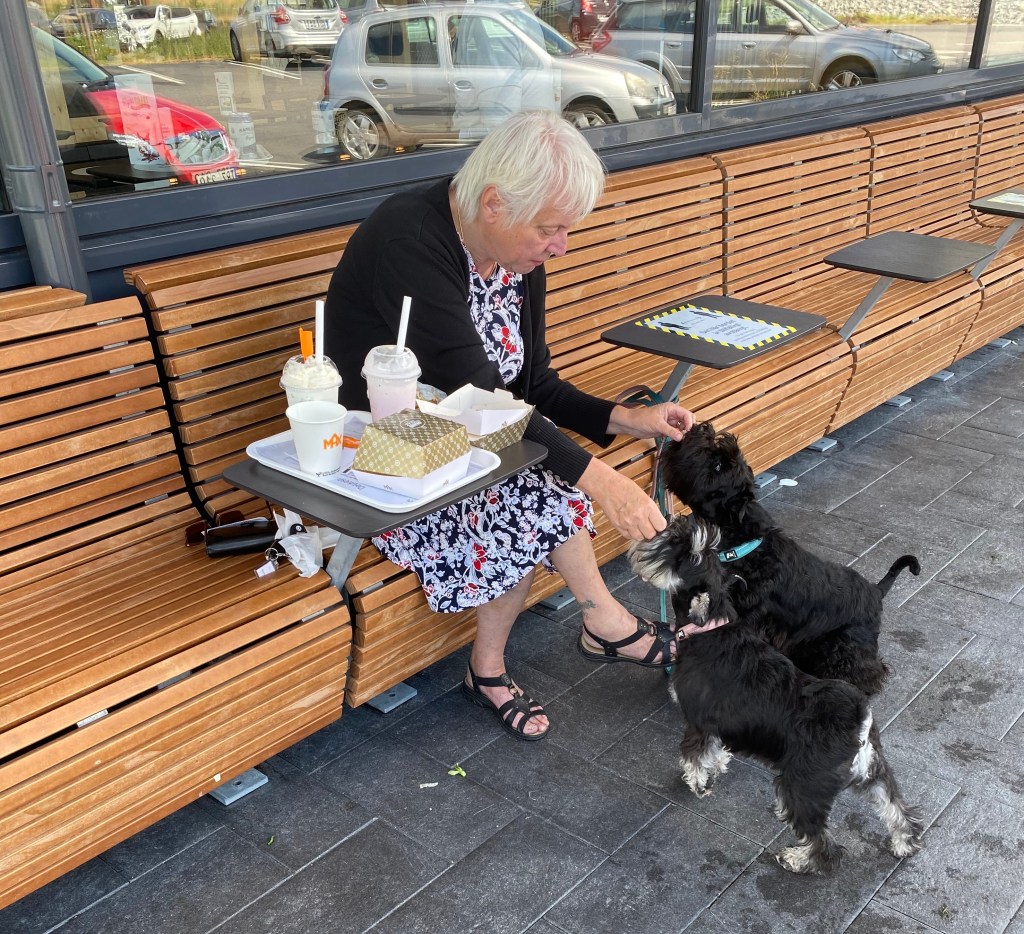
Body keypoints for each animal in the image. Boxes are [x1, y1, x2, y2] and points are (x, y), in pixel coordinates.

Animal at [629, 516, 924, 874]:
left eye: (688, 552)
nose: (674, 522)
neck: (711, 628)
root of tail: (860, 719)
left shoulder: (699, 722)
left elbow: (695, 755)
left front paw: (698, 782)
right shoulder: (719, 726)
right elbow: (717, 750)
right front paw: (720, 765)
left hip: (801, 785)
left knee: (825, 844)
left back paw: (798, 859)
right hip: (872, 772)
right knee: (897, 808)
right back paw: (904, 843)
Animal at [660, 421, 921, 696]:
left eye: (719, 466)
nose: (700, 427)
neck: (744, 547)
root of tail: (876, 590)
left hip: (846, 647)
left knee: (870, 671)